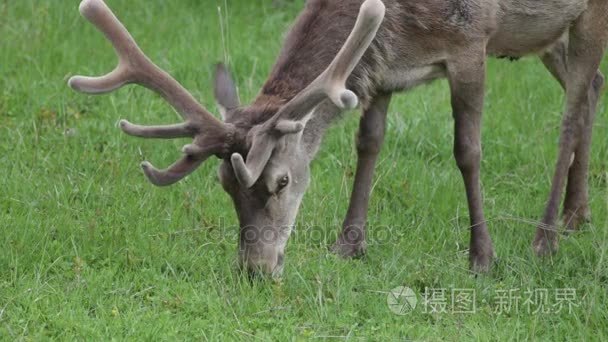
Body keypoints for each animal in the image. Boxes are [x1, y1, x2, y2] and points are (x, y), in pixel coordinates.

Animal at [67, 0, 608, 278]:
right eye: (225, 186)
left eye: (282, 182)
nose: (255, 269)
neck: (400, 25)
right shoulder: (385, 72)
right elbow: (368, 144)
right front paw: (348, 245)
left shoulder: (470, 43)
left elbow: (467, 151)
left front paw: (482, 256)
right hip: (547, 35)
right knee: (591, 89)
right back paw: (577, 214)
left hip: (584, 15)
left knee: (569, 111)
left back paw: (546, 237)